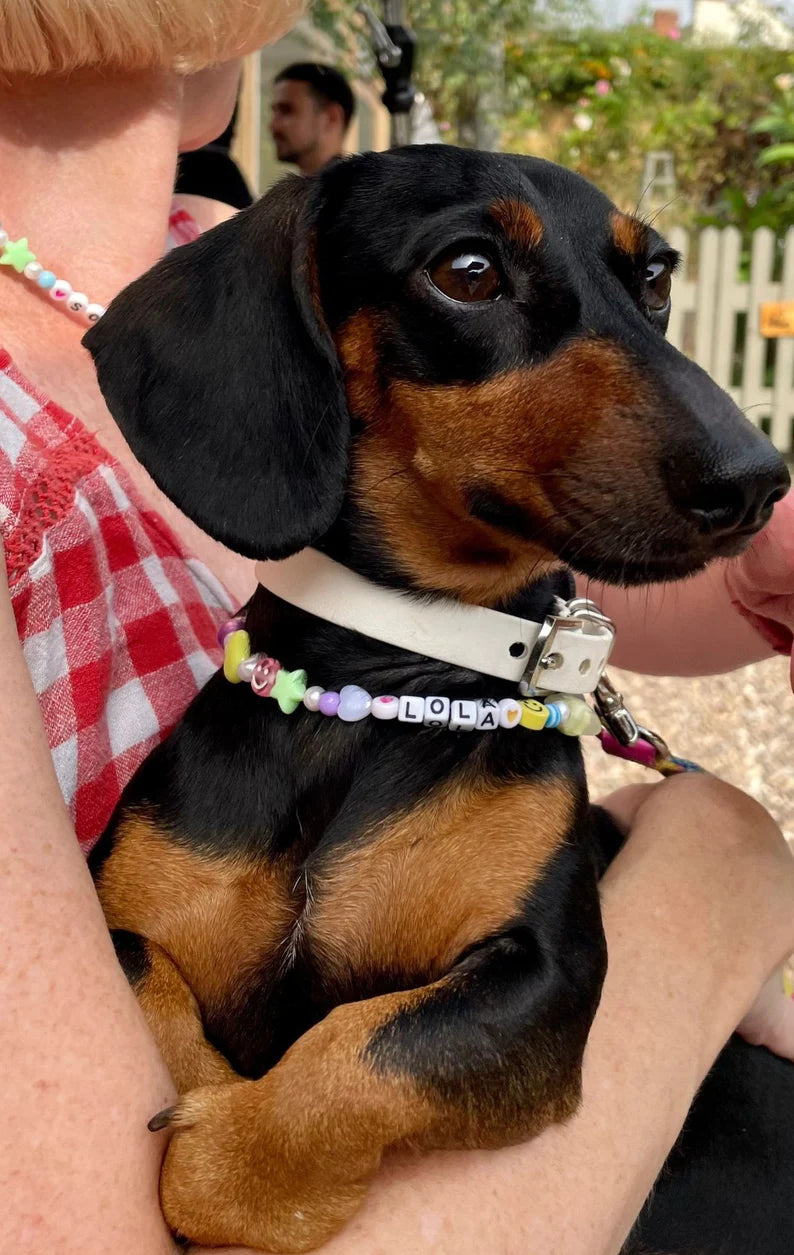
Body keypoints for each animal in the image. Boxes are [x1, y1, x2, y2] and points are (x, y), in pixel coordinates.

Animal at [85, 149, 792, 1255]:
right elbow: (142, 973)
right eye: (467, 271)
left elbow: (370, 1049)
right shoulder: (119, 907)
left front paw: (228, 1166)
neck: (389, 681)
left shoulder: (543, 978)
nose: (759, 481)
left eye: (655, 277)